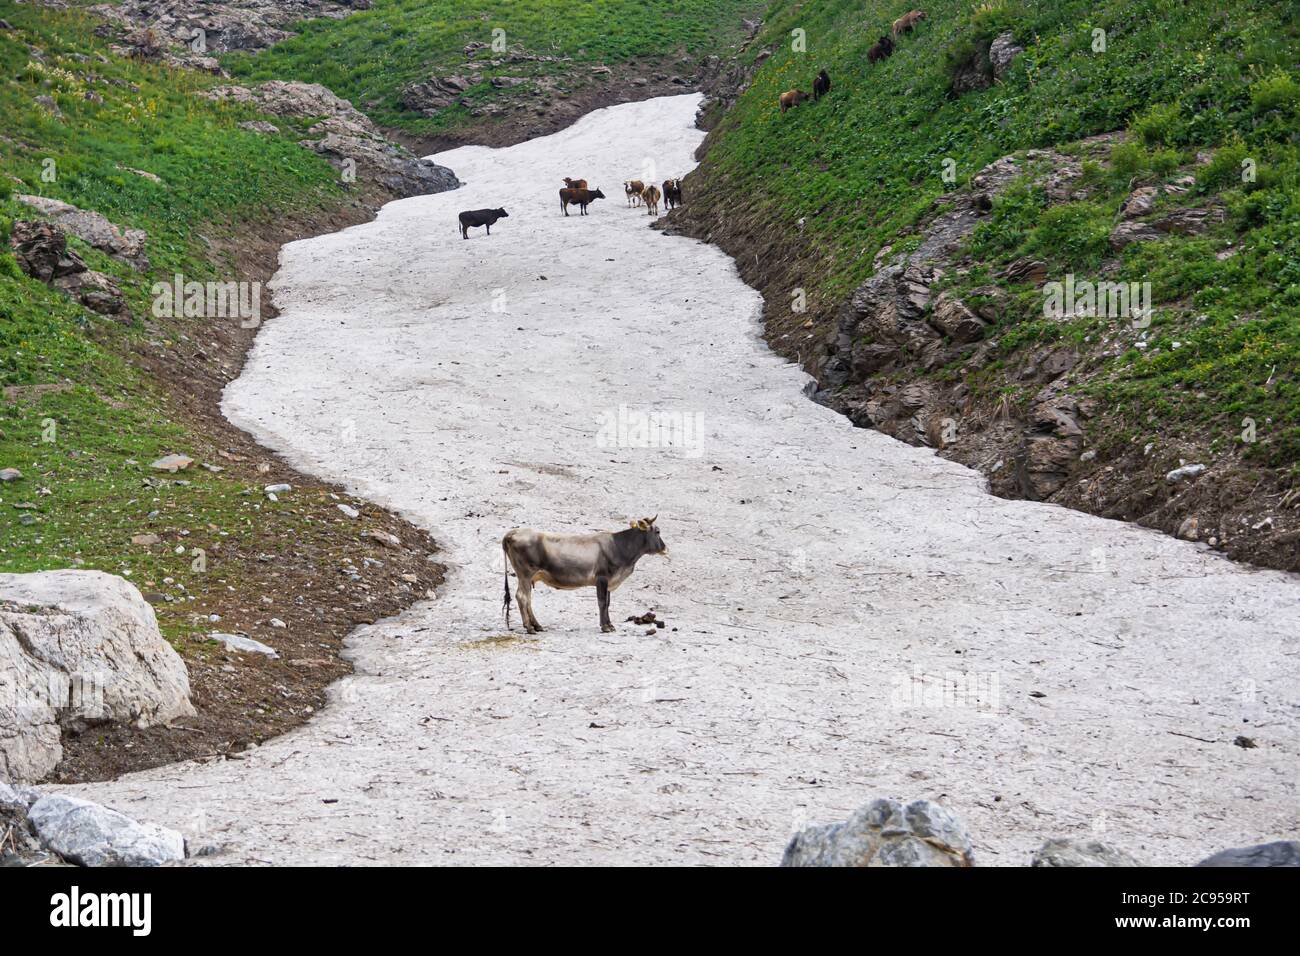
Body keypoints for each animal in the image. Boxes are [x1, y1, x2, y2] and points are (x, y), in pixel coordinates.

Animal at [502, 517, 668, 634]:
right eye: (658, 531)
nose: (665, 548)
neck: (618, 547)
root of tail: (513, 532)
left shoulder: (609, 581)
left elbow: (607, 603)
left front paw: (609, 624)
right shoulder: (602, 578)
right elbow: (602, 602)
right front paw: (605, 627)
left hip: (527, 577)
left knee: (527, 598)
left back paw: (537, 625)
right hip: (525, 573)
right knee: (522, 597)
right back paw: (529, 627)